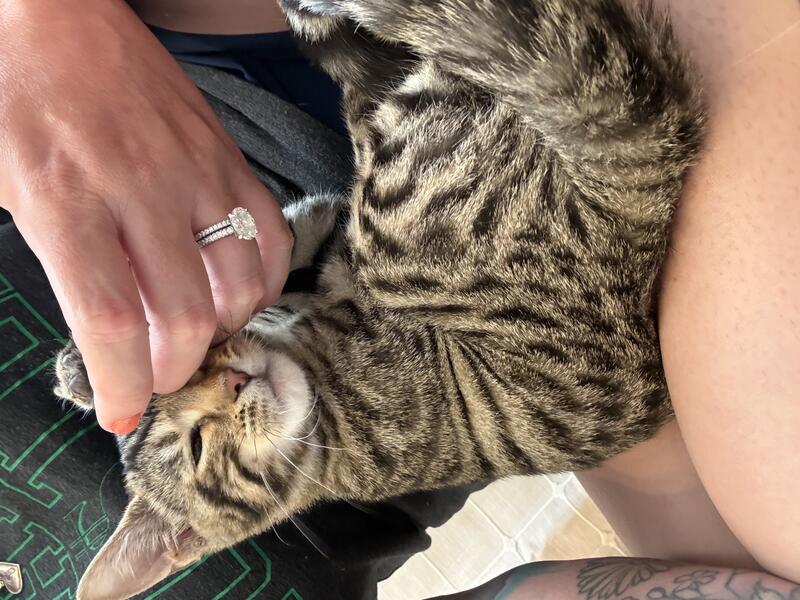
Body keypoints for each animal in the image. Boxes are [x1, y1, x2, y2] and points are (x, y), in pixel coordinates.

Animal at [54, 0, 704, 598]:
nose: (236, 381)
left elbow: (288, 240)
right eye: (195, 445)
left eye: (199, 367)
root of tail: (632, 227)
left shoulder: (319, 242)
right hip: (401, 222)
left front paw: (84, 371)